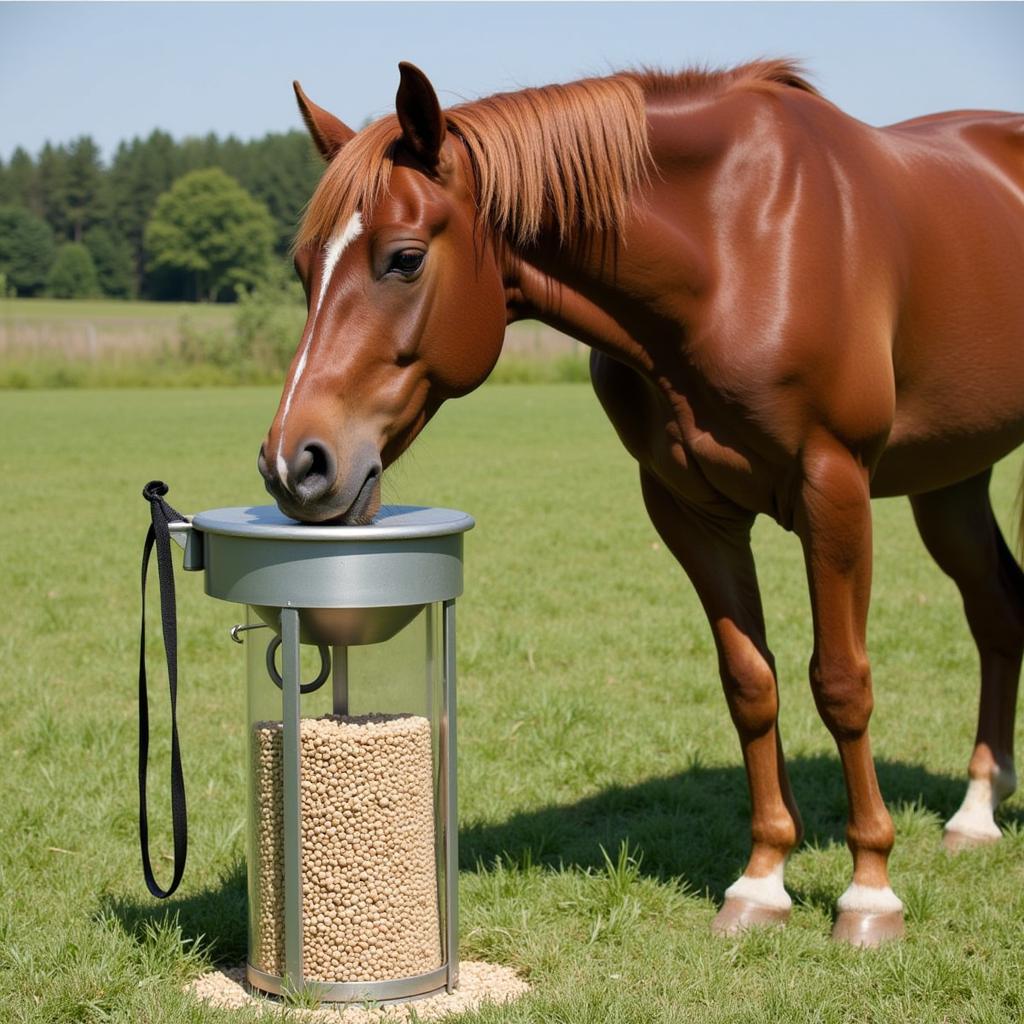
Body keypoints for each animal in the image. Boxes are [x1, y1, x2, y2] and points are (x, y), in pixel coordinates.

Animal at [260, 61, 1024, 942]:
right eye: (302, 267)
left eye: (405, 258)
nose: (295, 463)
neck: (738, 246)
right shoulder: (690, 509)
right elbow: (749, 683)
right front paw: (762, 881)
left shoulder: (834, 486)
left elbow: (841, 682)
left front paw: (870, 893)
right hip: (952, 479)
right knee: (998, 611)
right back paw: (976, 812)